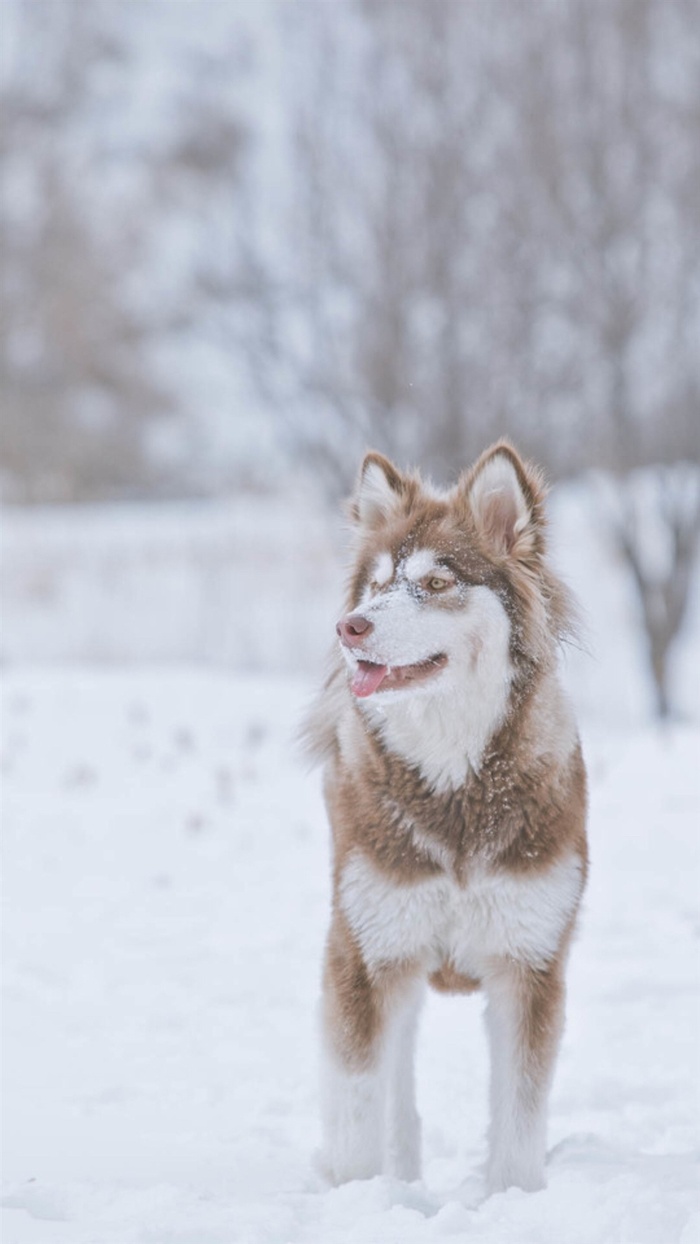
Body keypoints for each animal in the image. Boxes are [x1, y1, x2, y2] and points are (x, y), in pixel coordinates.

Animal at [304, 445, 589, 1194]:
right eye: (375, 586)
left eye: (435, 582)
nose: (351, 627)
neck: (456, 787)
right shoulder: (366, 952)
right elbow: (360, 1105)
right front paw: (361, 1196)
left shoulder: (530, 961)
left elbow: (519, 1120)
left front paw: (512, 1199)